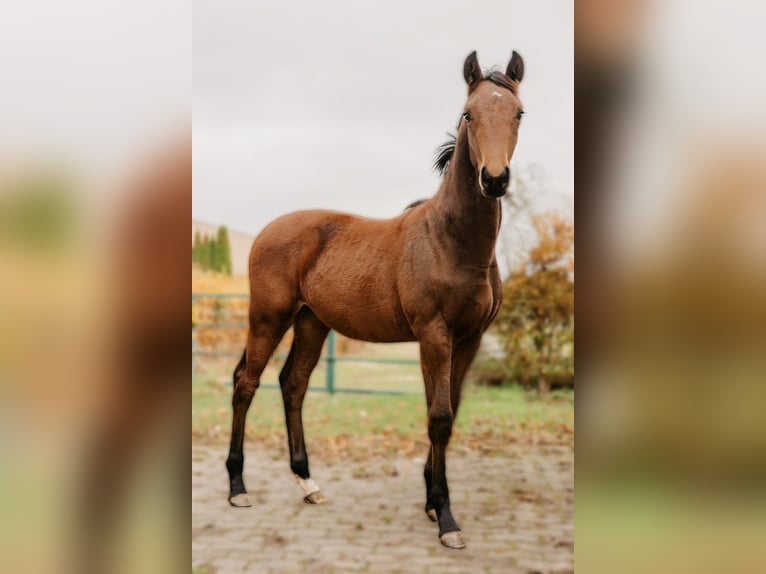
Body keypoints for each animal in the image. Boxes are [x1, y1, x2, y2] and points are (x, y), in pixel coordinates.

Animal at [226, 51, 528, 552]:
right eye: (469, 114)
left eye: (519, 113)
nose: (495, 179)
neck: (453, 241)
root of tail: (267, 230)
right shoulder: (434, 334)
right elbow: (439, 416)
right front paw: (447, 519)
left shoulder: (468, 340)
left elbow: (447, 411)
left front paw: (431, 503)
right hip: (269, 318)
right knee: (246, 383)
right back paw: (237, 488)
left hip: (312, 322)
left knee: (293, 384)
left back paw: (308, 484)